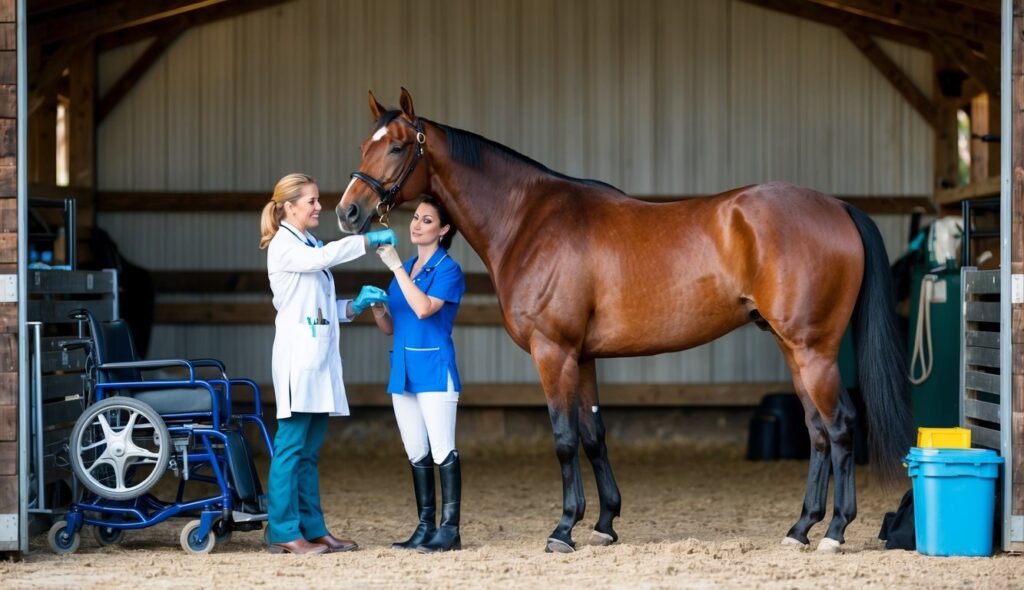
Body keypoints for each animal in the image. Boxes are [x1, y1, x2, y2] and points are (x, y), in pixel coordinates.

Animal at [339, 87, 917, 553]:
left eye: (396, 145)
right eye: (365, 143)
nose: (348, 212)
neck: (529, 220)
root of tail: (837, 206)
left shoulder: (554, 352)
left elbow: (564, 438)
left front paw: (563, 529)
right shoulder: (583, 357)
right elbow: (594, 435)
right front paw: (604, 524)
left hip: (813, 350)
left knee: (840, 426)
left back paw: (836, 532)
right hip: (792, 349)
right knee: (818, 432)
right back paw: (800, 530)